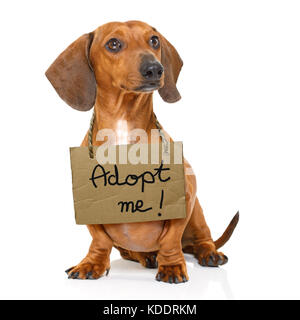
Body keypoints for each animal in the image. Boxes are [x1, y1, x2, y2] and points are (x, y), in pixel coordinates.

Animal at [45, 20, 238, 284]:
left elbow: (170, 239)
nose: (155, 69)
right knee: (130, 252)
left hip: (197, 213)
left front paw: (172, 266)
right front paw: (92, 263)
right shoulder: (87, 205)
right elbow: (100, 239)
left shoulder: (184, 198)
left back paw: (208, 253)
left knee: (201, 238)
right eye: (113, 44)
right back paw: (146, 256)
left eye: (154, 40)